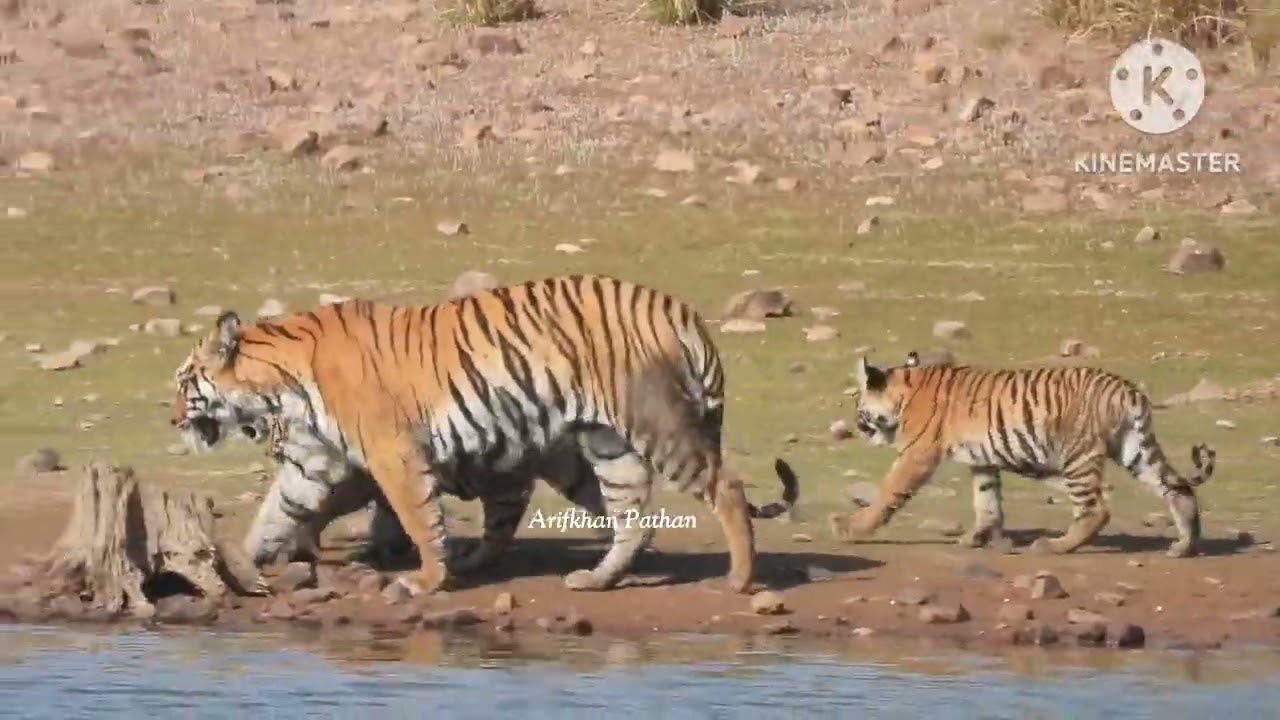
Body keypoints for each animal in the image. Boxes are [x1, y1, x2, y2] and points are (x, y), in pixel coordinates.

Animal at [170, 274, 799, 595]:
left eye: (184, 381)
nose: (173, 418)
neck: (282, 385)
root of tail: (678, 307)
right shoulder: (315, 461)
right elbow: (276, 511)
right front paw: (241, 564)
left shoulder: (393, 454)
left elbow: (420, 519)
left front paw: (426, 580)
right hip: (606, 443)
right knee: (631, 518)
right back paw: (595, 579)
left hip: (655, 425)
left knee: (726, 487)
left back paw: (739, 579)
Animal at [830, 351, 1216, 558]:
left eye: (859, 404)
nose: (858, 425)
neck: (906, 390)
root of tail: (1127, 389)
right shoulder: (982, 460)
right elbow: (987, 503)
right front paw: (975, 538)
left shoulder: (917, 455)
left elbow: (888, 492)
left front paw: (850, 527)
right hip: (1134, 451)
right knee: (1179, 490)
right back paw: (1184, 547)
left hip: (1076, 457)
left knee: (1096, 510)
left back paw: (1054, 547)